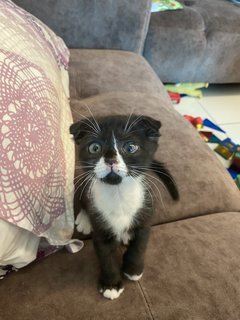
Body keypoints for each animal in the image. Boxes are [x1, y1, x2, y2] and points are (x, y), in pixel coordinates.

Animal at [69, 114, 178, 300]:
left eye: (130, 147)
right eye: (94, 147)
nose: (110, 159)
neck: (118, 194)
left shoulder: (146, 214)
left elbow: (139, 246)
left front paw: (133, 270)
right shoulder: (101, 229)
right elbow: (106, 256)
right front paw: (111, 285)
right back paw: (84, 221)